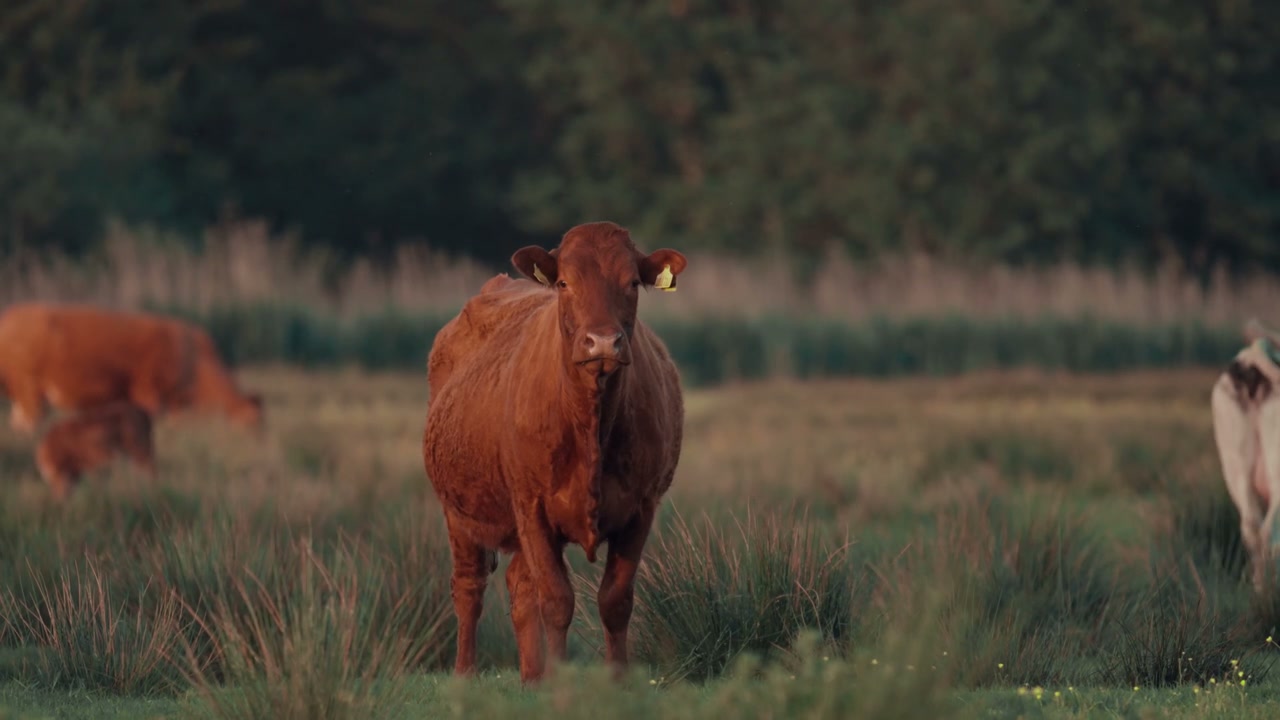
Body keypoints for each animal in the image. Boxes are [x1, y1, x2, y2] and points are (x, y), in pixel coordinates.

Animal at [422, 220, 687, 684]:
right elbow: (557, 600)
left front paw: (617, 679)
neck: (590, 423)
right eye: (565, 282)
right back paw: (466, 674)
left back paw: (531, 676)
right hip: (460, 514)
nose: (603, 342)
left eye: (633, 282)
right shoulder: (532, 506)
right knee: (469, 588)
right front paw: (560, 678)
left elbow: (615, 600)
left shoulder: (642, 507)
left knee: (519, 584)